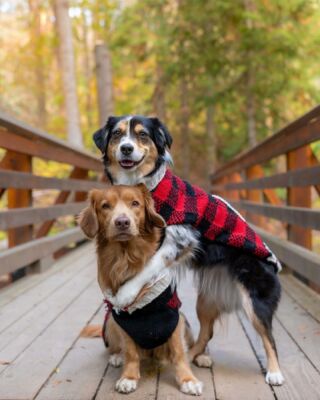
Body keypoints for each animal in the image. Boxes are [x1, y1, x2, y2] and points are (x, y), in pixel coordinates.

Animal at [78, 185, 202, 396]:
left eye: (135, 203)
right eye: (105, 206)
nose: (122, 222)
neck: (126, 257)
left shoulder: (174, 318)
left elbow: (179, 352)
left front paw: (188, 380)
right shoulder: (123, 320)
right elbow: (130, 352)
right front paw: (129, 377)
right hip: (110, 322)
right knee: (117, 348)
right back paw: (117, 357)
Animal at [93, 115, 284, 384]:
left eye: (142, 135)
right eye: (118, 134)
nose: (126, 148)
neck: (148, 186)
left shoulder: (180, 238)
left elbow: (148, 266)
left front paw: (126, 294)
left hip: (254, 299)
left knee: (269, 336)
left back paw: (275, 372)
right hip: (206, 300)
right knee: (205, 333)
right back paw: (188, 355)